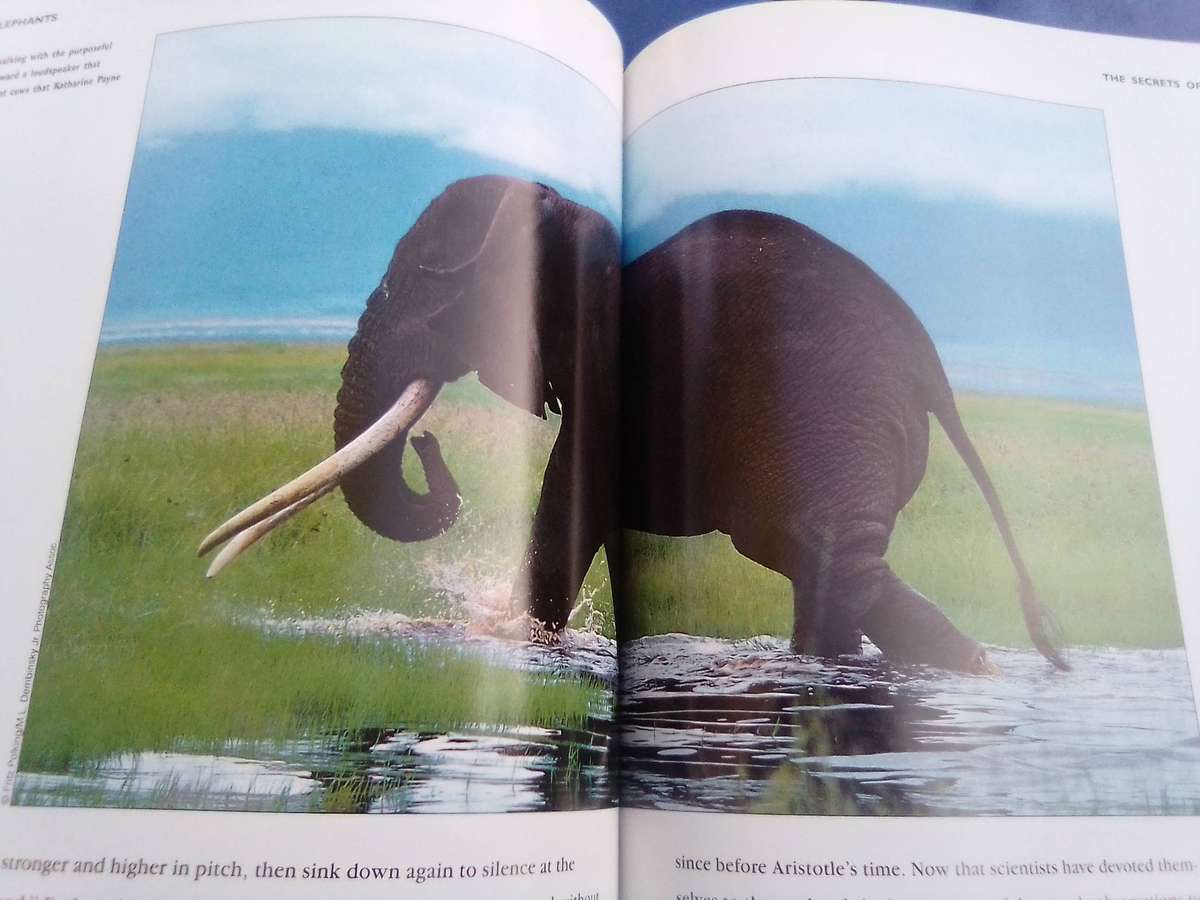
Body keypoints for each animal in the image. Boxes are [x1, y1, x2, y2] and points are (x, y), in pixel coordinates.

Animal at [198, 174, 1067, 673]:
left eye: (434, 284)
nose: (426, 441)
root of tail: (933, 375)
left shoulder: (608, 374)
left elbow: (569, 506)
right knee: (828, 571)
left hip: (832, 416)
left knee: (815, 552)